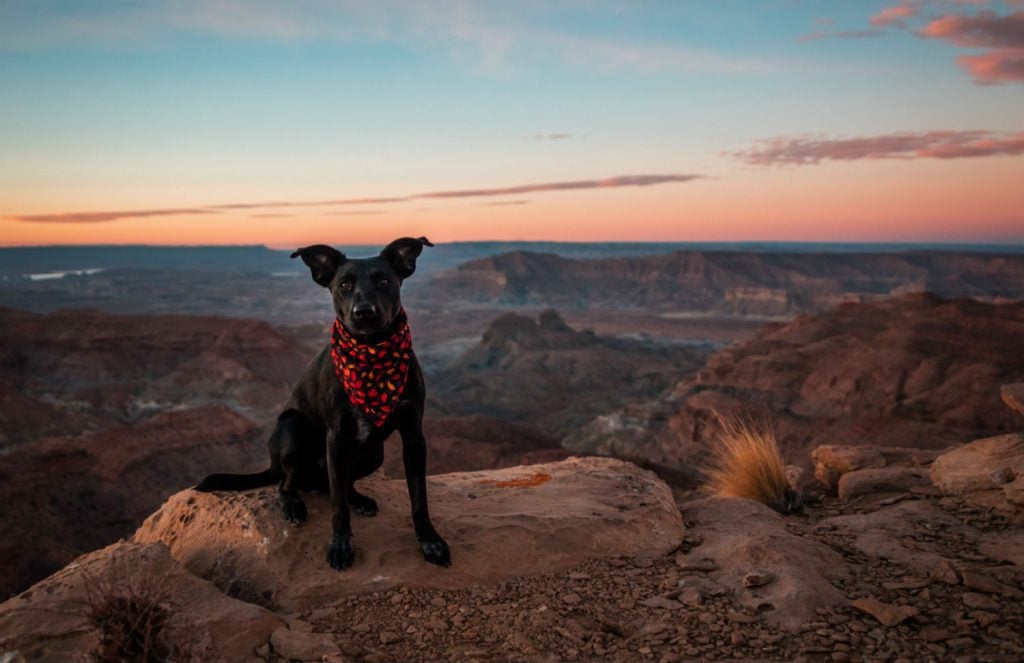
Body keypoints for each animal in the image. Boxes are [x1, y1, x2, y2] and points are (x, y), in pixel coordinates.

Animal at [192, 237, 448, 569]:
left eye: (384, 281)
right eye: (344, 285)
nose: (363, 312)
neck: (371, 355)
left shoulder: (414, 436)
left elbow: (419, 498)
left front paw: (430, 540)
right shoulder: (337, 438)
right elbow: (337, 509)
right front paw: (340, 546)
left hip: (374, 454)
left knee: (337, 485)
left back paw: (358, 498)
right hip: (291, 430)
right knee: (287, 484)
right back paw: (293, 505)